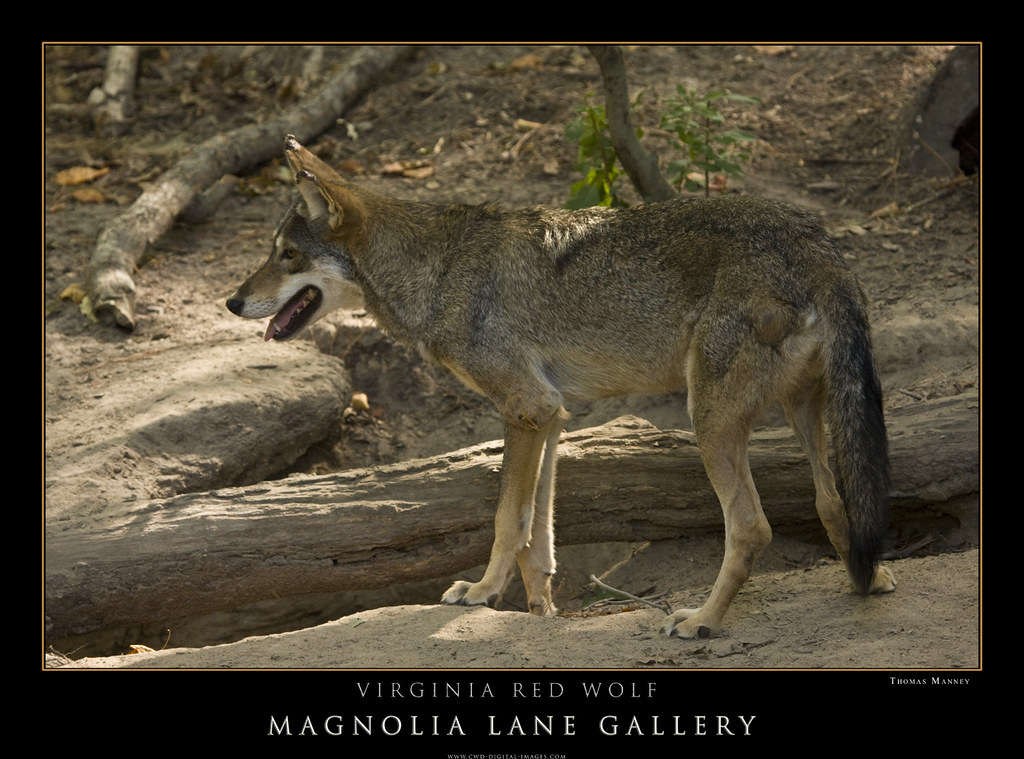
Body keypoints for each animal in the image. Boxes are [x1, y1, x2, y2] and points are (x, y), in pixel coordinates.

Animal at [226, 134, 895, 639]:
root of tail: (816, 243)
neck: (437, 270)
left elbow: (507, 520)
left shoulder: (525, 407)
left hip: (708, 419)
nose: (232, 302)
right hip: (801, 410)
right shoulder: (551, 414)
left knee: (752, 528)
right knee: (833, 502)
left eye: (286, 256)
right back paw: (868, 582)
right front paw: (541, 611)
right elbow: (538, 536)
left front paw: (481, 593)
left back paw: (701, 621)